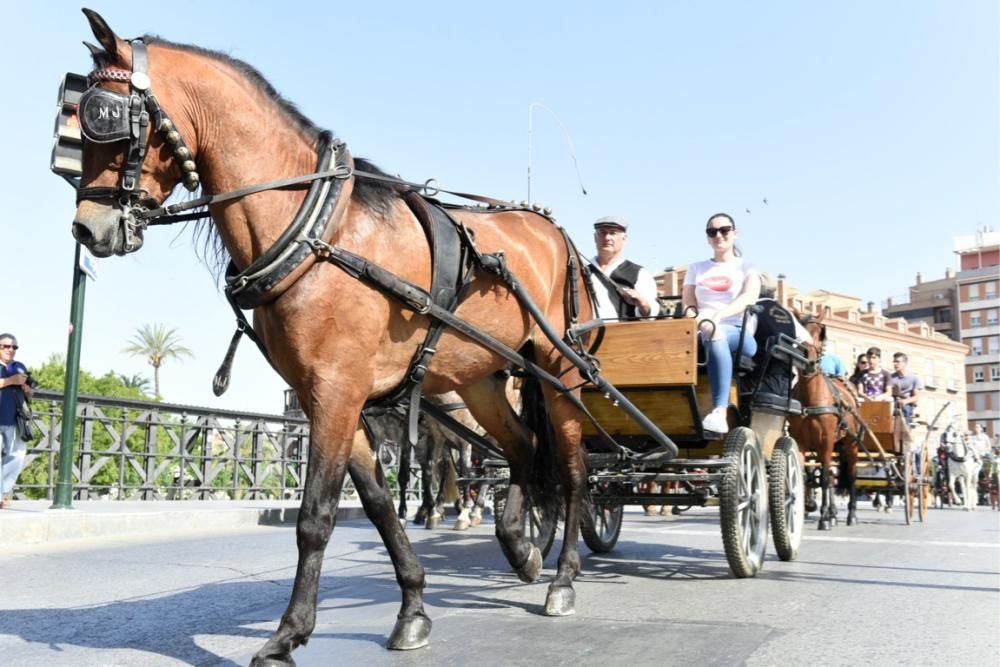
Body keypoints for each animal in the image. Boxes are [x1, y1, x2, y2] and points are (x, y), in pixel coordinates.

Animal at [72, 9, 592, 664]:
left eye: (106, 119)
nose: (88, 230)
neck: (315, 228)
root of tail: (555, 233)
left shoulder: (338, 392)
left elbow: (315, 515)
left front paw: (287, 634)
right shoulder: (334, 398)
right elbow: (378, 505)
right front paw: (414, 607)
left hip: (560, 370)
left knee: (572, 470)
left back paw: (564, 576)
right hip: (481, 380)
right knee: (522, 449)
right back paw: (520, 546)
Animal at [788, 310, 860, 532]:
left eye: (820, 334)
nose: (808, 359)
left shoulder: (826, 441)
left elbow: (826, 478)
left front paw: (824, 518)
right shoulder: (801, 442)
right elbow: (804, 477)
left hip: (850, 443)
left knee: (849, 475)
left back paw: (850, 514)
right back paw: (834, 513)